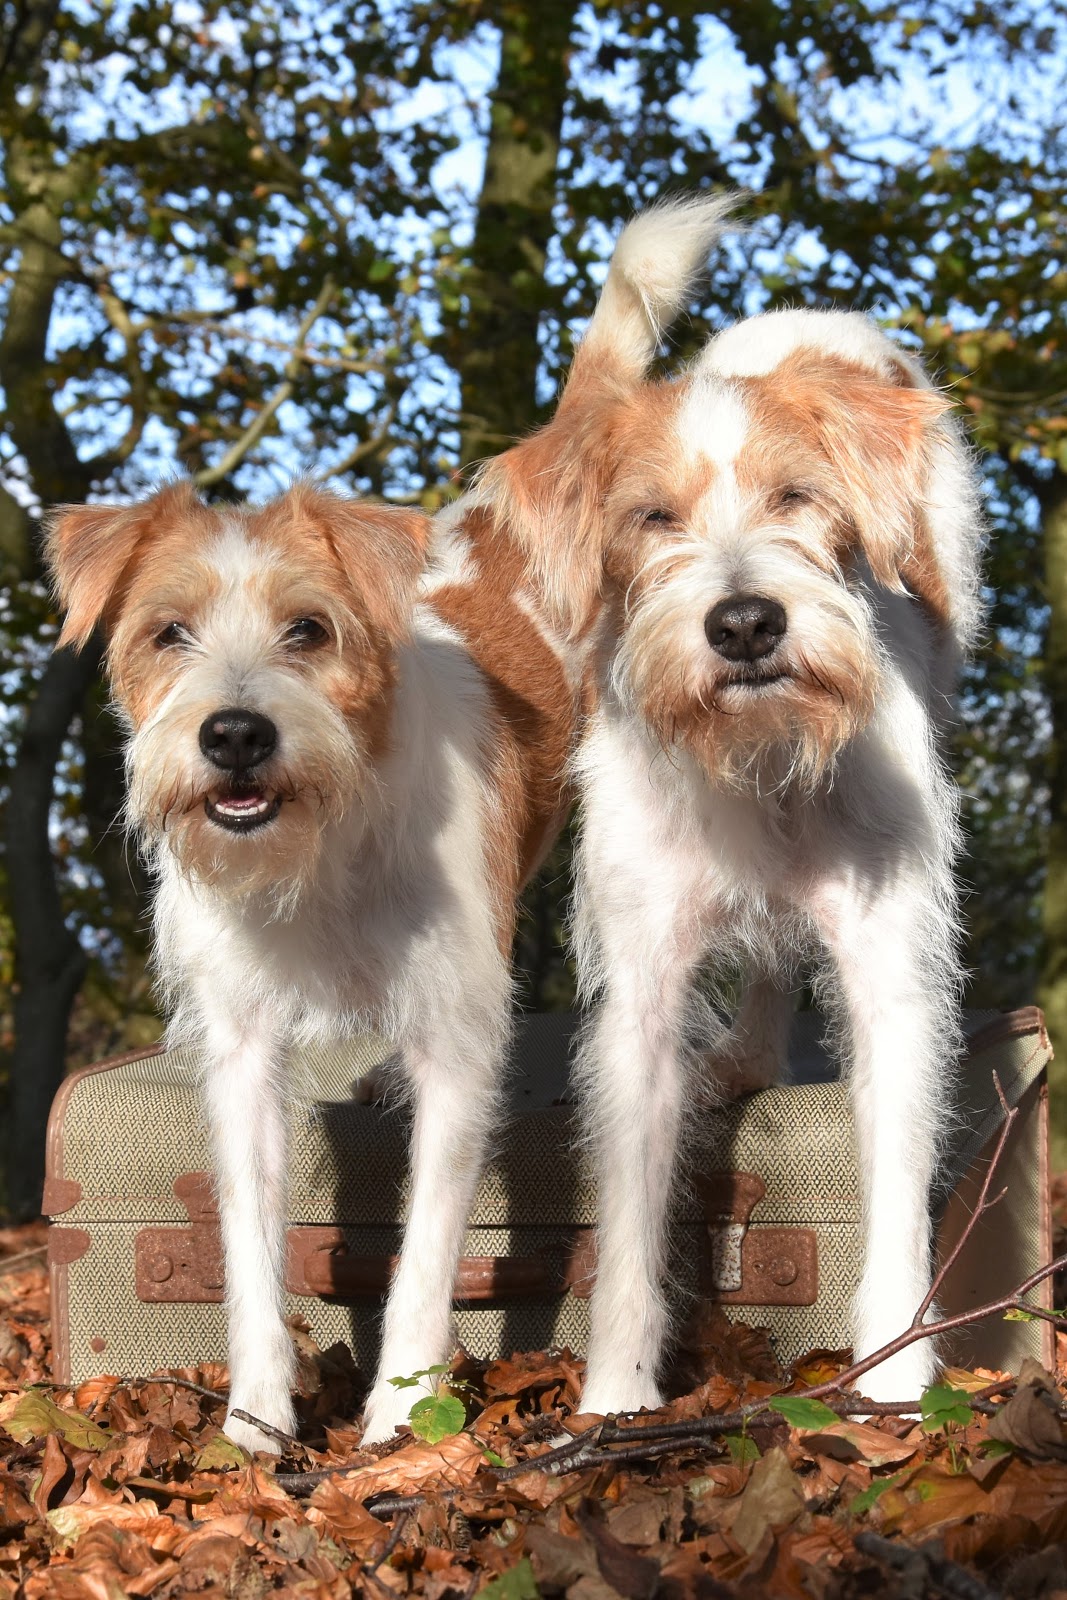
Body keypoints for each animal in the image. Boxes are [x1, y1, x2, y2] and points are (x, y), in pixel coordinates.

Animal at [42, 196, 737, 1450]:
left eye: (310, 629)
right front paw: (257, 1426)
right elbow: (251, 1250)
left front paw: (398, 1423)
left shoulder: (456, 1040)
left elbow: (423, 1250)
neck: (324, 848)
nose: (234, 735)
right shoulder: (241, 1055)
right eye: (166, 632)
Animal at [489, 199, 984, 1412]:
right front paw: (615, 1398)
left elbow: (895, 1194)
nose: (746, 623)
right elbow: (627, 1226)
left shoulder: (891, 978)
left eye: (795, 496)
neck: (755, 760)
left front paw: (897, 1381)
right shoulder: (640, 1002)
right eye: (650, 517)